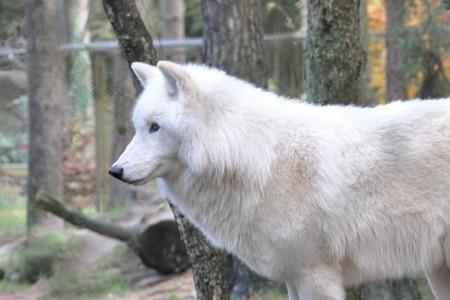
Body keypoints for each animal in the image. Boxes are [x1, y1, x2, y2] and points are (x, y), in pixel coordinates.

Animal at [110, 61, 450, 300]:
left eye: (155, 127)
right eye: (138, 127)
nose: (115, 171)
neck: (260, 158)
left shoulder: (315, 275)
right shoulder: (293, 277)